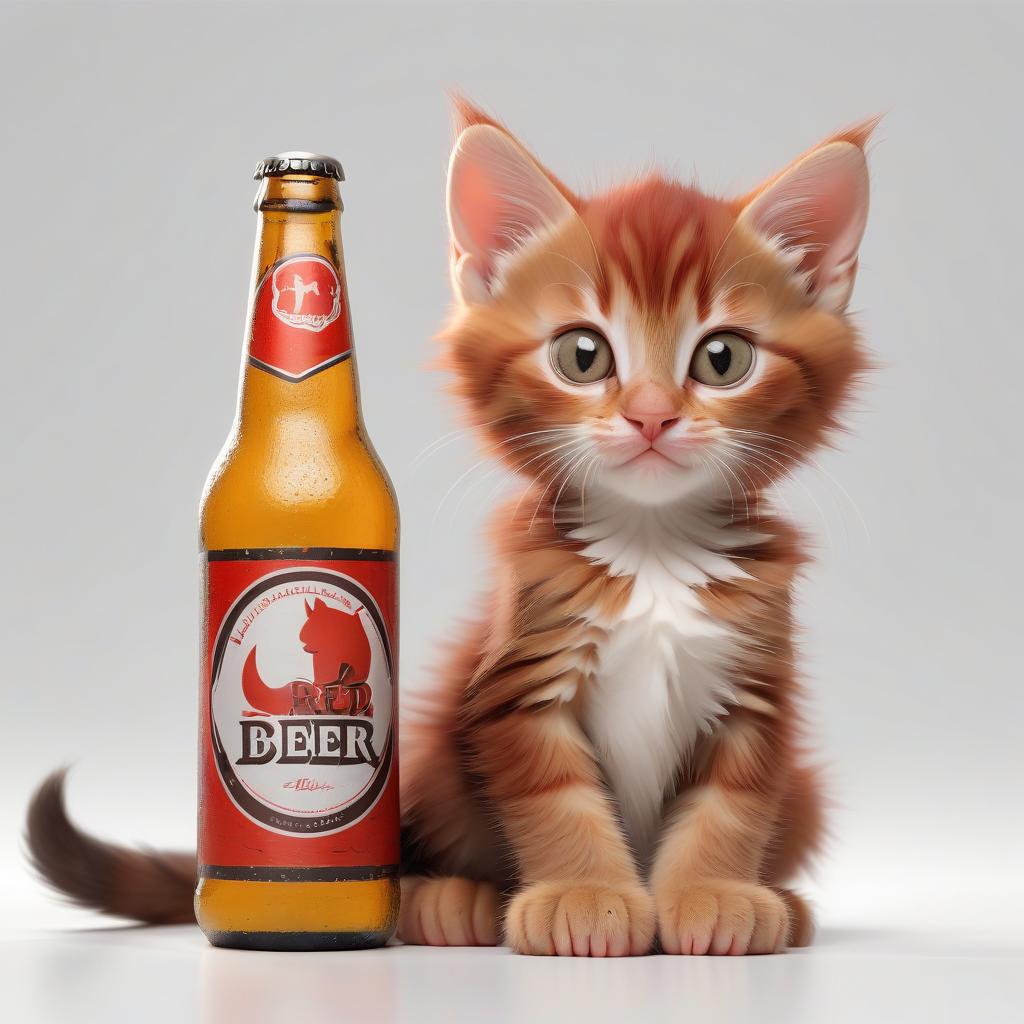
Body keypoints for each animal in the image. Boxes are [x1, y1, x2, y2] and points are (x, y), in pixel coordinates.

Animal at [24, 99, 872, 954]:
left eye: (723, 358)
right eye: (583, 355)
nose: (652, 416)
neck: (652, 542)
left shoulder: (753, 692)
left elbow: (729, 806)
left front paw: (712, 894)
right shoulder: (522, 684)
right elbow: (556, 804)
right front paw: (586, 895)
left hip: (802, 791)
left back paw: (782, 902)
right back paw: (450, 902)